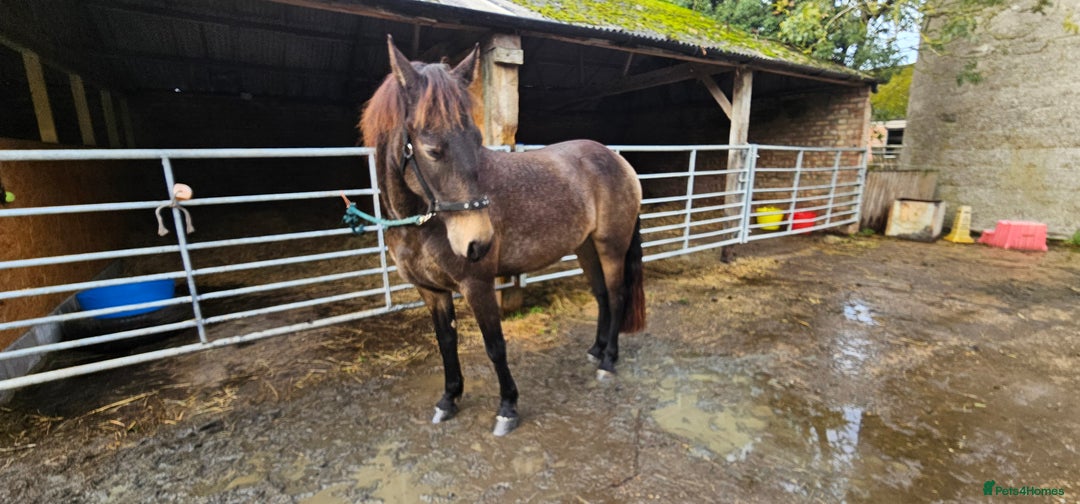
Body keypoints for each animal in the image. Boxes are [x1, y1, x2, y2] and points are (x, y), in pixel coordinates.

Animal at [359, 35, 645, 436]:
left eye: (476, 139)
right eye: (432, 150)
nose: (478, 242)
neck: (423, 224)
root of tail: (619, 160)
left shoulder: (477, 285)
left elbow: (495, 345)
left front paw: (507, 407)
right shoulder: (431, 292)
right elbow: (446, 342)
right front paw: (449, 400)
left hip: (611, 246)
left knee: (617, 296)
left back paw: (608, 362)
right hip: (585, 248)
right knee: (602, 295)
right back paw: (596, 351)